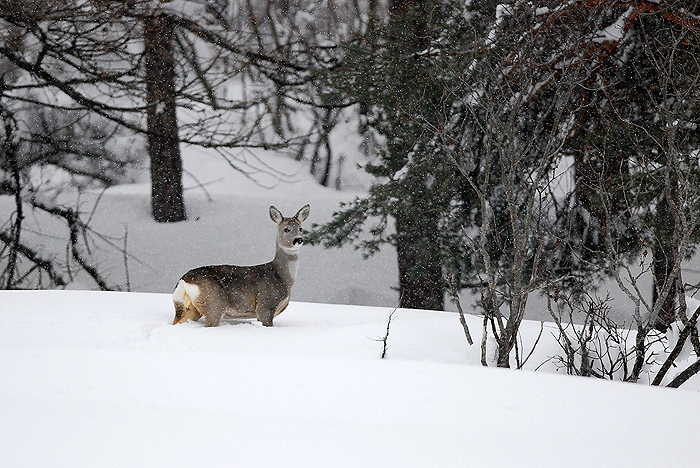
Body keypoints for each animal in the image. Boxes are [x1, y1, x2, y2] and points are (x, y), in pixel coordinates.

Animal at [171, 203, 310, 328]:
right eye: (286, 229)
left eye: (301, 229)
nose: (298, 239)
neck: (283, 278)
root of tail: (184, 280)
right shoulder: (265, 304)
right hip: (214, 302)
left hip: (186, 307)